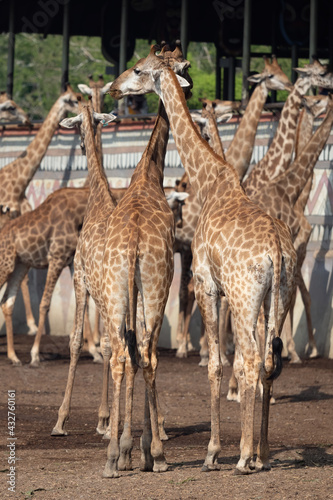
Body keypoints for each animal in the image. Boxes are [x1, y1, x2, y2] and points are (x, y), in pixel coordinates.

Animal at [108, 47, 296, 476]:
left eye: (138, 69)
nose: (114, 87)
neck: (209, 181)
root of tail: (277, 250)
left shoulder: (208, 285)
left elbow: (215, 364)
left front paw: (212, 453)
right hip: (278, 297)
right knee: (267, 361)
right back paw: (260, 453)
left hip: (244, 298)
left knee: (248, 361)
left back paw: (242, 458)